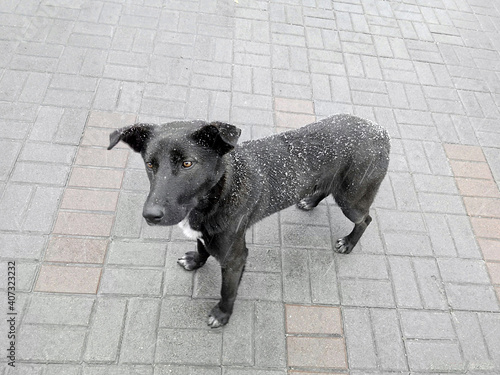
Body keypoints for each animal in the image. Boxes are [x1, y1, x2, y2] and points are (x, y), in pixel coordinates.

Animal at [108, 115, 390, 328]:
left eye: (188, 163)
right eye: (150, 164)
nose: (150, 215)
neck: (220, 192)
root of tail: (380, 130)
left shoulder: (236, 257)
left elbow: (227, 290)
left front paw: (222, 315)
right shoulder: (205, 234)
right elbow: (201, 247)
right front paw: (196, 261)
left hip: (352, 199)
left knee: (366, 219)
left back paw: (349, 243)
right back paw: (310, 201)